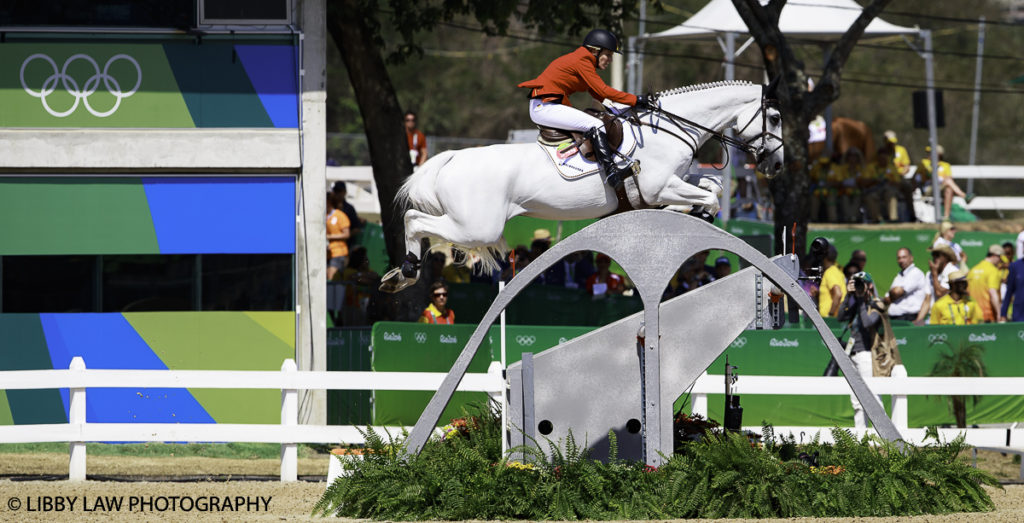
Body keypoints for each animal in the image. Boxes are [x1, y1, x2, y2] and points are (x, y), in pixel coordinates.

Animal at [382, 80, 782, 292]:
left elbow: (712, 184)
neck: (669, 129)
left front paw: (693, 212)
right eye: (776, 118)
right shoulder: (659, 187)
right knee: (415, 220)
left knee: (418, 221)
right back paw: (406, 272)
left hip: (471, 224)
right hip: (478, 226)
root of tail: (451, 158)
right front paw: (698, 214)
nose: (775, 165)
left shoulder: (674, 181)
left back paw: (400, 275)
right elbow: (709, 195)